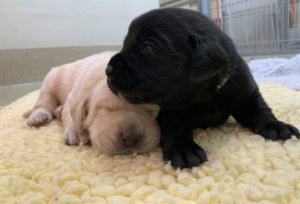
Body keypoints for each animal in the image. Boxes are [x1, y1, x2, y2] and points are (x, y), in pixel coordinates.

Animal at [23, 51, 161, 154]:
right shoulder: (75, 95)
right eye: (107, 108)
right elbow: (73, 115)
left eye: (150, 111)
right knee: (44, 101)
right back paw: (38, 116)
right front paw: (77, 132)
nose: (131, 137)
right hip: (51, 80)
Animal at [106, 7, 300, 168]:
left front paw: (276, 125)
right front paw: (183, 149)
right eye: (125, 44)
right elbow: (173, 126)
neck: (208, 94)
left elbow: (259, 109)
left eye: (147, 47)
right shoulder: (168, 110)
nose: (107, 70)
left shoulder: (245, 92)